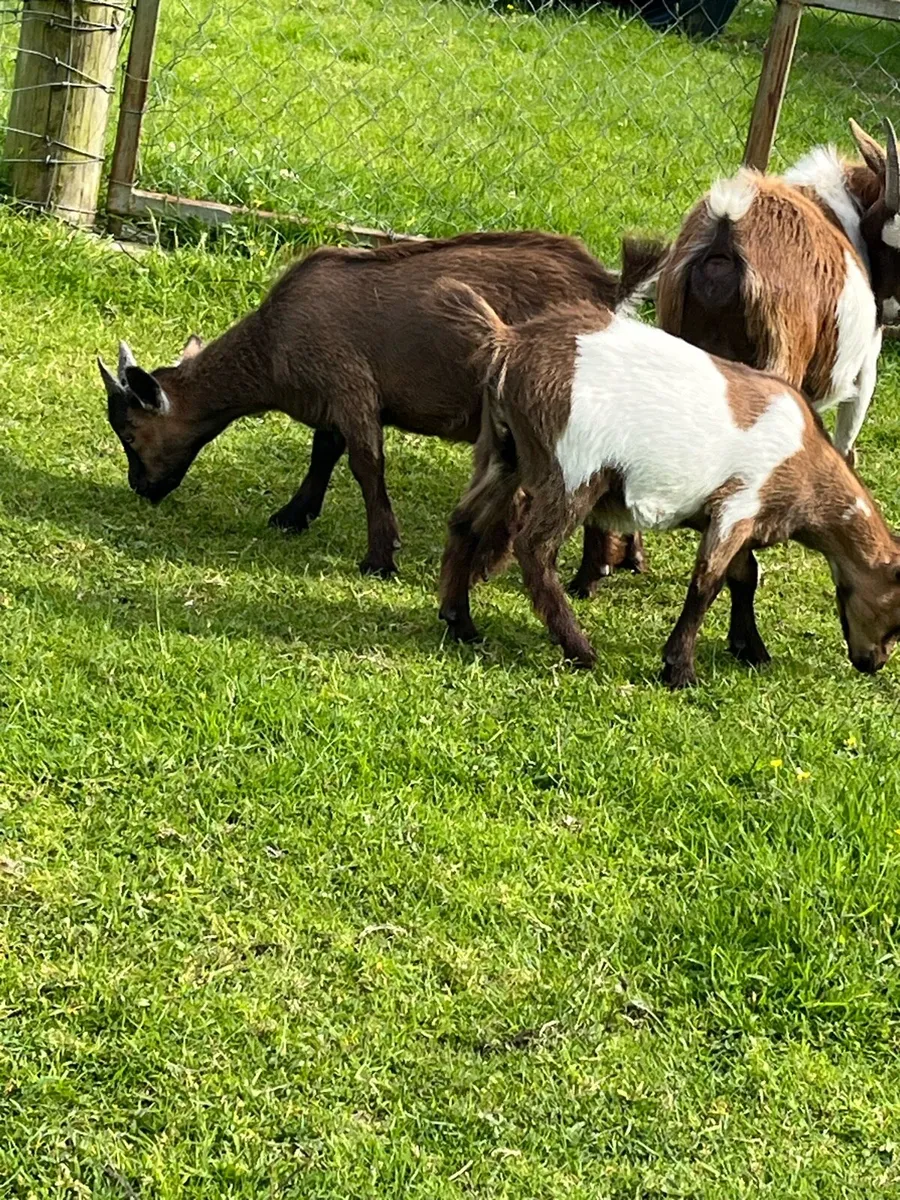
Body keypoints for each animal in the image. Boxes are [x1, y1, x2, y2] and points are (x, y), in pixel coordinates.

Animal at [99, 231, 661, 584]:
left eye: (129, 433)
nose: (141, 487)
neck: (272, 346)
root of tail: (611, 288)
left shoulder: (351, 389)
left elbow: (366, 466)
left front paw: (380, 557)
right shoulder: (334, 400)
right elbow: (323, 453)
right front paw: (293, 515)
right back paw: (624, 560)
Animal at [435, 281, 900, 687]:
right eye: (896, 611)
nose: (873, 662)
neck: (804, 458)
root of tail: (509, 343)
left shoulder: (741, 519)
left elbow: (744, 576)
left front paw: (751, 650)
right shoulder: (737, 504)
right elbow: (706, 584)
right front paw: (680, 670)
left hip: (506, 453)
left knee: (465, 522)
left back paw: (460, 622)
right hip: (572, 471)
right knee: (534, 549)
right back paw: (580, 649)